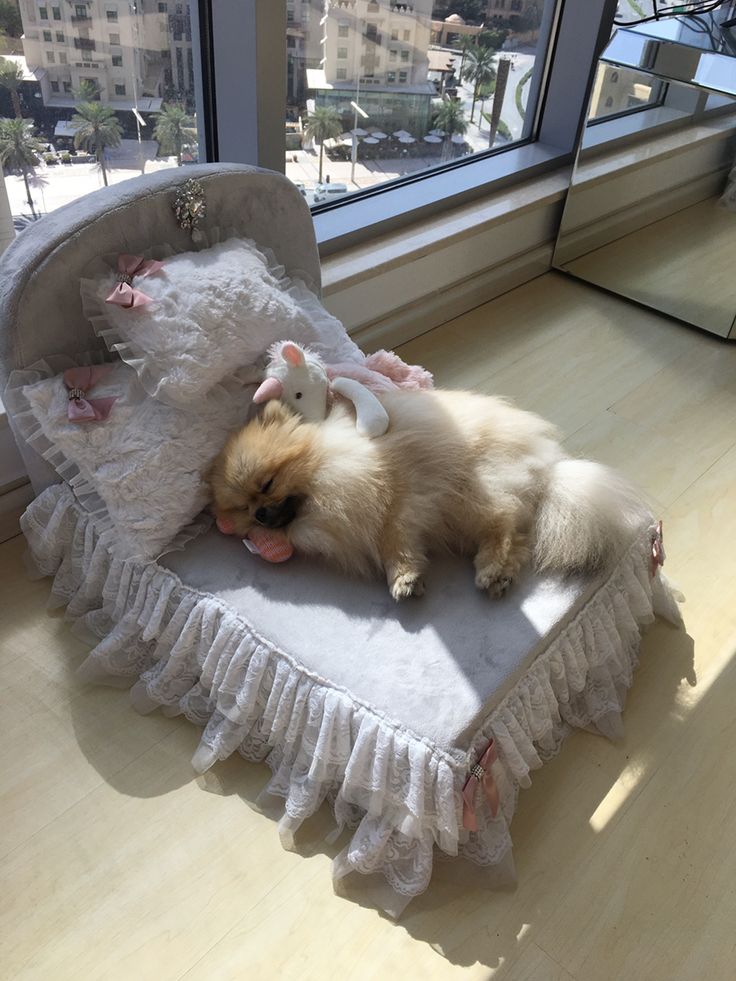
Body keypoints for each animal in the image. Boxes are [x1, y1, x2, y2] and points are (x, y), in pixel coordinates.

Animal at [204, 388, 648, 600]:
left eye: (267, 485)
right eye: (244, 508)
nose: (262, 515)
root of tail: (548, 470)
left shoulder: (399, 499)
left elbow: (394, 542)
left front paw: (402, 577)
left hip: (470, 492)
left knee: (504, 526)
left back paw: (490, 570)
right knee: (517, 535)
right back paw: (499, 574)